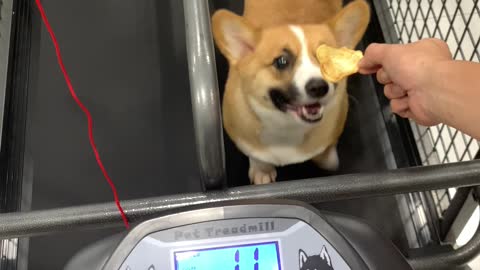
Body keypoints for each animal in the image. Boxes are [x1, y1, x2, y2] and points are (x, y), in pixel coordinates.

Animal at [212, 0, 370, 185]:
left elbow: (325, 152)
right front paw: (262, 171)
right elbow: (256, 155)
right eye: (281, 61)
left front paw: (328, 160)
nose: (319, 87)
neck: (286, 125)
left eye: (327, 58)